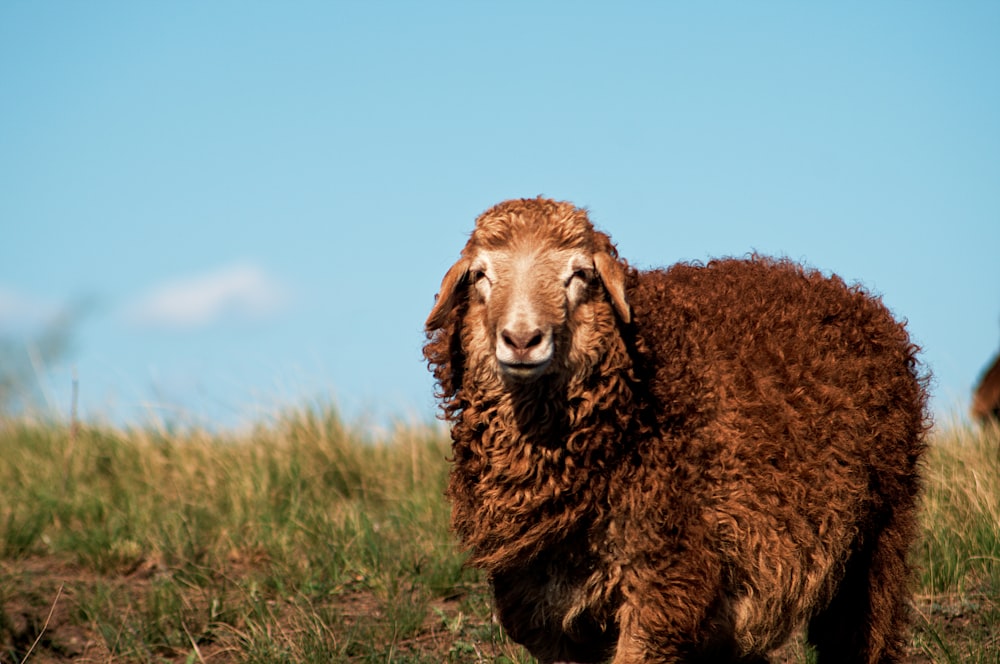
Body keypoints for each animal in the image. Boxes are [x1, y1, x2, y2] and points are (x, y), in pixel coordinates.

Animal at [422, 198, 928, 664]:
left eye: (580, 275)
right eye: (481, 275)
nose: (522, 340)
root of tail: (853, 297)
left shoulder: (663, 587)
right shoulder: (542, 608)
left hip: (880, 532)